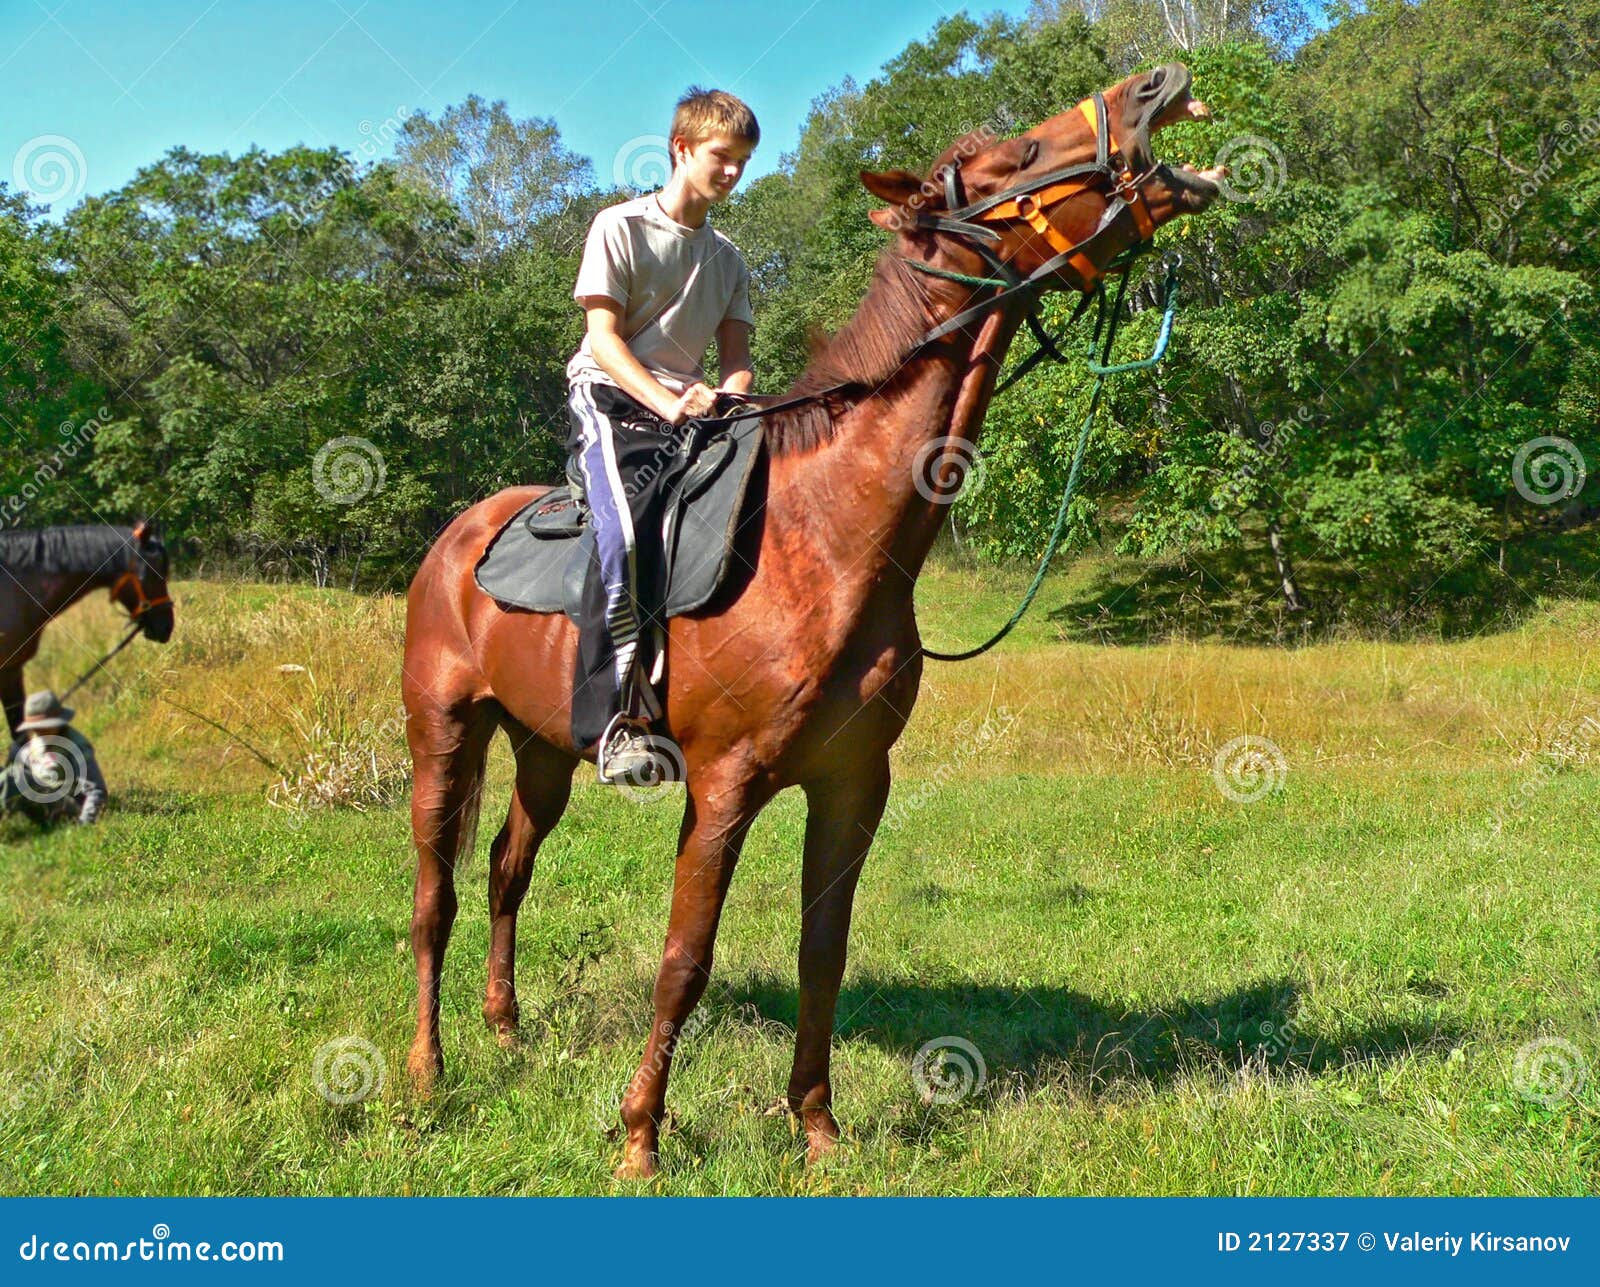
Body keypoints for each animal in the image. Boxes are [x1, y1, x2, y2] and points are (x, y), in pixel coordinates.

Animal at [401, 63, 1226, 1178]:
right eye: (1015, 152)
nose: (1154, 84)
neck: (827, 541)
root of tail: (454, 540)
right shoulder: (723, 786)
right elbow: (685, 959)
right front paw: (640, 1139)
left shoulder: (850, 784)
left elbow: (821, 953)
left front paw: (819, 1129)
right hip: (444, 732)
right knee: (434, 896)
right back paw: (427, 1069)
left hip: (541, 749)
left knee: (503, 870)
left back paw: (505, 1030)